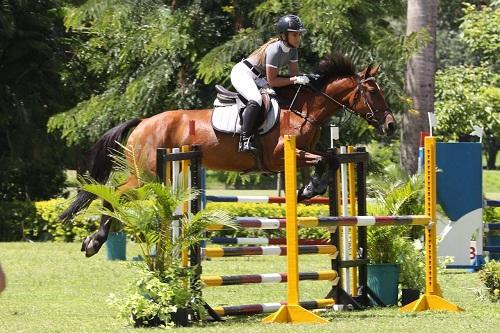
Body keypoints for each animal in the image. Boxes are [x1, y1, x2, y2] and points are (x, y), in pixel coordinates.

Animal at [59, 53, 394, 256]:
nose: (390, 124)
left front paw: (310, 188)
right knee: (114, 194)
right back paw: (94, 241)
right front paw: (310, 188)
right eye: (372, 92)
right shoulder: (281, 156)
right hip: (145, 175)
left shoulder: (307, 149)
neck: (302, 110)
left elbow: (330, 158)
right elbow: (325, 159)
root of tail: (144, 122)